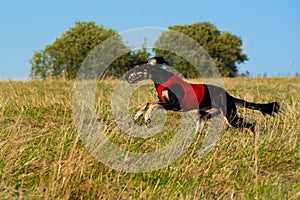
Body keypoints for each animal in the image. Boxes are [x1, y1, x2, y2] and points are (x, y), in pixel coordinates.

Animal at [125, 56, 280, 133]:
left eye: (138, 68)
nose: (126, 76)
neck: (162, 79)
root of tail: (228, 95)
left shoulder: (175, 104)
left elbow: (153, 104)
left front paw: (146, 116)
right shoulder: (166, 102)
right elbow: (147, 102)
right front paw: (138, 114)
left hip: (230, 117)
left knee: (249, 125)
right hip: (204, 114)